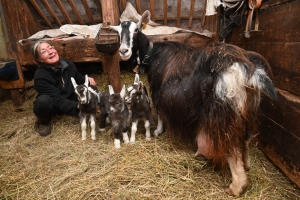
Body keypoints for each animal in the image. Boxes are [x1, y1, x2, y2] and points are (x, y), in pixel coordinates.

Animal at [110, 10, 278, 196]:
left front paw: (158, 131)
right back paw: (247, 164)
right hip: (247, 108)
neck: (153, 54)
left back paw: (236, 186)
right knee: (246, 138)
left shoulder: (158, 89)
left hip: (222, 111)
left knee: (230, 145)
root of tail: (247, 68)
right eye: (118, 32)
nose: (123, 51)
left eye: (137, 30)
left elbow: (160, 111)